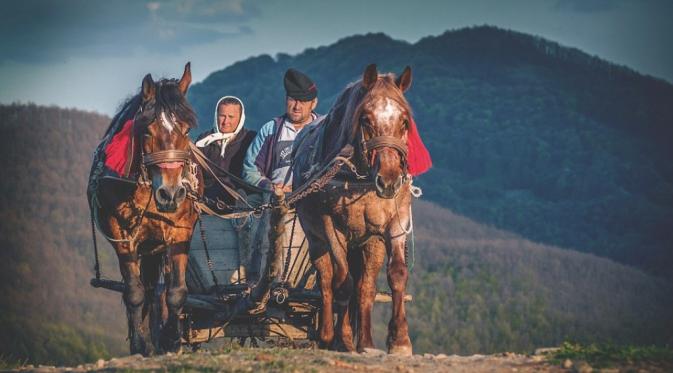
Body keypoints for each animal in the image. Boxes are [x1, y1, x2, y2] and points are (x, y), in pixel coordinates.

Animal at [88, 63, 201, 354]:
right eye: (147, 131)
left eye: (186, 130)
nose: (171, 193)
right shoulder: (122, 236)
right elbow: (134, 291)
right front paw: (140, 345)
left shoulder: (180, 232)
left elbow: (176, 291)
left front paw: (172, 340)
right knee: (146, 290)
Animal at [296, 64, 414, 354]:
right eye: (366, 119)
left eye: (404, 121)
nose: (389, 180)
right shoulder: (331, 226)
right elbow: (342, 281)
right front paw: (343, 338)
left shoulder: (395, 222)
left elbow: (396, 274)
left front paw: (400, 340)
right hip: (317, 239)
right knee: (327, 278)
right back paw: (329, 334)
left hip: (369, 242)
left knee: (365, 287)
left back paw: (366, 341)